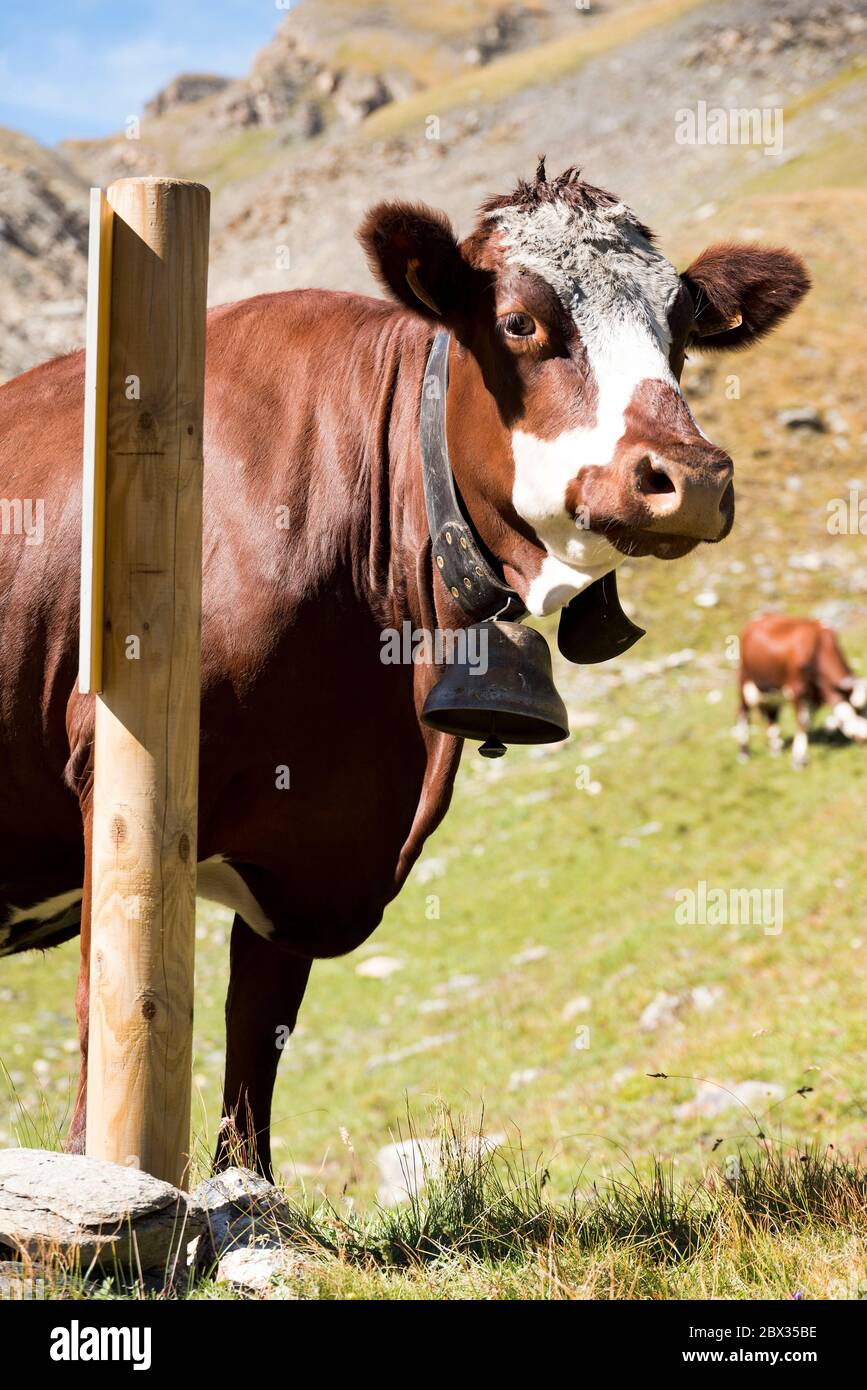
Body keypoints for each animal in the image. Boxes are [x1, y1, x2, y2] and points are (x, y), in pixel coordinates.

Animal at [1, 168, 811, 1178]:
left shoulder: (310, 852)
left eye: (683, 329)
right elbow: (100, 1030)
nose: (691, 478)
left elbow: (253, 1057)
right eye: (517, 322)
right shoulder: (114, 781)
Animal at [733, 617, 861, 772]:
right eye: (858, 710)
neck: (819, 646)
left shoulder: (815, 695)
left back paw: (775, 750)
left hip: (772, 691)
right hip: (745, 682)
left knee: (771, 714)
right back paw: (743, 754)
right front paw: (798, 761)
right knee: (743, 713)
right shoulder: (797, 691)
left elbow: (807, 723)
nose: (864, 739)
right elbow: (802, 723)